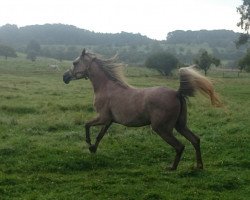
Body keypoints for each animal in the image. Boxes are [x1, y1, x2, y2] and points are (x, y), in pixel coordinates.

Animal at [62, 49, 221, 170]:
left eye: (75, 63)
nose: (65, 77)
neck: (106, 88)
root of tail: (177, 93)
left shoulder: (103, 117)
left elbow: (87, 125)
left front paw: (89, 144)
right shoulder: (109, 121)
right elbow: (100, 136)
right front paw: (93, 149)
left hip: (162, 128)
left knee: (180, 146)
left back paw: (172, 168)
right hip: (180, 125)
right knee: (195, 140)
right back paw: (199, 166)